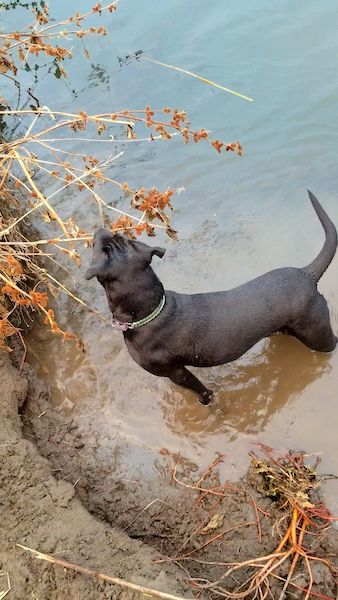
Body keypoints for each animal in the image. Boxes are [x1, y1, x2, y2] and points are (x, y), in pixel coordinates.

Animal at [86, 191, 336, 408]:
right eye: (118, 237)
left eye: (101, 246)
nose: (100, 229)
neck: (151, 311)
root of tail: (307, 274)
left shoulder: (176, 372)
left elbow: (201, 390)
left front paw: (207, 404)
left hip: (317, 335)